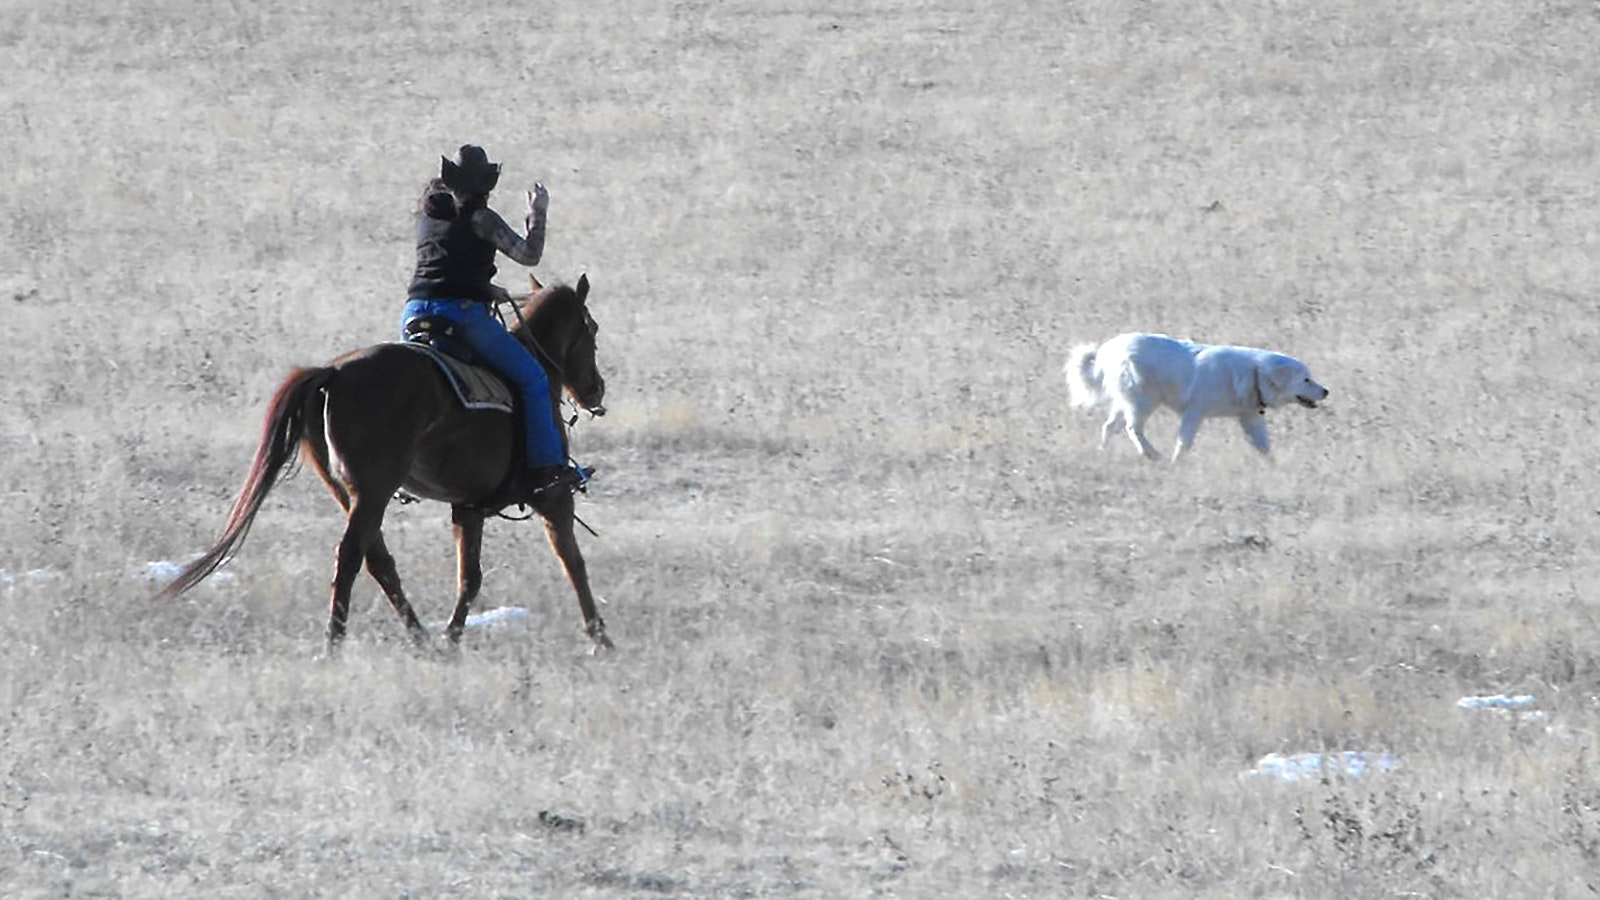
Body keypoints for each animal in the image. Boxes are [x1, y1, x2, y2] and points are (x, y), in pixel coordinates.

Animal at [162, 273, 611, 650]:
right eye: (592, 329)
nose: (596, 389)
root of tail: (333, 374)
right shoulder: (553, 496)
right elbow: (573, 562)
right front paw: (601, 639)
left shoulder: (468, 508)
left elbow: (470, 577)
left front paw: (451, 640)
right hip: (374, 489)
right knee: (351, 556)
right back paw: (334, 646)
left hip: (349, 490)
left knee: (377, 559)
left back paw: (421, 640)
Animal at [1068, 334, 1331, 461]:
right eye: (1306, 380)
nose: (1326, 391)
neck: (1254, 373)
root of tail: (1107, 351)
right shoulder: (1194, 414)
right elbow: (1184, 443)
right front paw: (1177, 464)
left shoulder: (1250, 419)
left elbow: (1264, 447)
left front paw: (1272, 467)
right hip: (1142, 401)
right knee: (1133, 429)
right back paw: (1152, 454)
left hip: (1127, 403)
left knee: (1109, 426)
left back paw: (1103, 452)